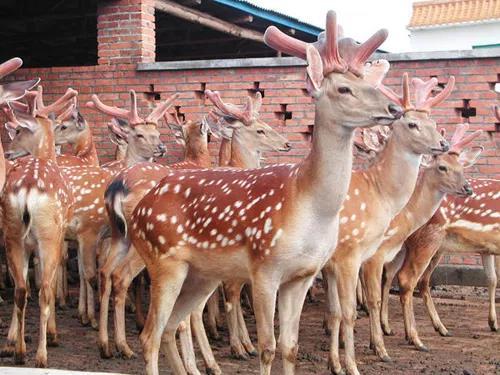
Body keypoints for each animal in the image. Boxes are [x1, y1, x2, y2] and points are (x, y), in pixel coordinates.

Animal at [126, 11, 402, 375]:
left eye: (369, 83)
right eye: (344, 88)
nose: (395, 108)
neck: (308, 204)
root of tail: (137, 212)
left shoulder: (303, 276)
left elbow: (290, 346)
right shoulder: (264, 268)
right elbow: (267, 347)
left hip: (201, 274)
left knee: (172, 327)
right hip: (163, 261)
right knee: (150, 336)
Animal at [322, 71, 456, 375]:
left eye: (434, 123)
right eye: (412, 123)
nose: (443, 144)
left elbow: (341, 309)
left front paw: (339, 362)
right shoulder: (366, 256)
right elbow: (369, 300)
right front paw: (380, 350)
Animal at [358, 124, 482, 364]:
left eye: (461, 166)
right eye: (442, 167)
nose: (467, 188)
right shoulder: (374, 256)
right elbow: (378, 294)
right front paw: (383, 348)